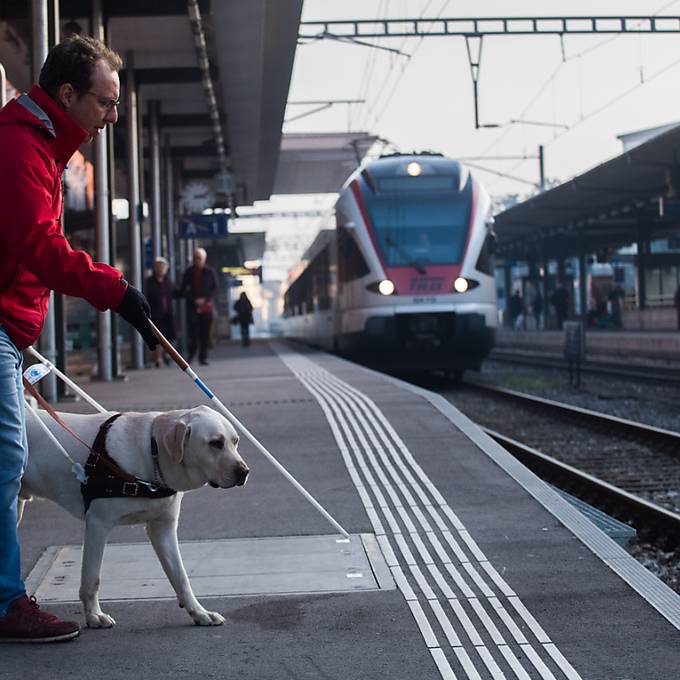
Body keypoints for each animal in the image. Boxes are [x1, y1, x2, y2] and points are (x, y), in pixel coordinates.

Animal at [19, 406, 251, 628]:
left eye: (235, 441)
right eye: (215, 443)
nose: (245, 472)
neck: (152, 454)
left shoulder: (163, 528)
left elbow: (181, 577)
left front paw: (200, 613)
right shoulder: (98, 524)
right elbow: (92, 578)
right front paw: (94, 616)